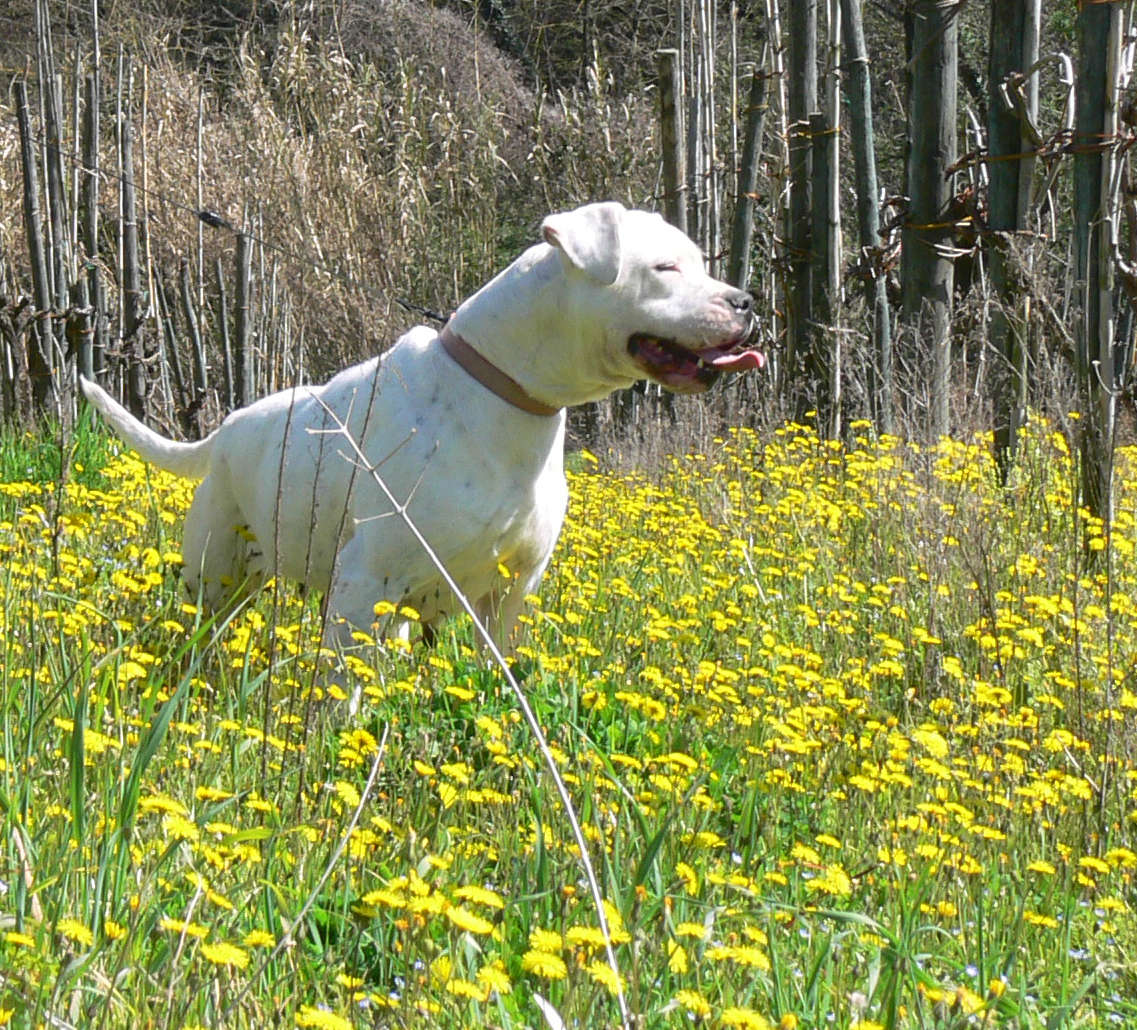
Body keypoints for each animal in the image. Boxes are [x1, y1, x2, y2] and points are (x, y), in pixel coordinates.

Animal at [82, 200, 764, 645]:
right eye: (665, 269)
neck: (504, 398)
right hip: (214, 572)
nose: (747, 302)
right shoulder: (363, 581)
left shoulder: (507, 597)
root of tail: (227, 429)